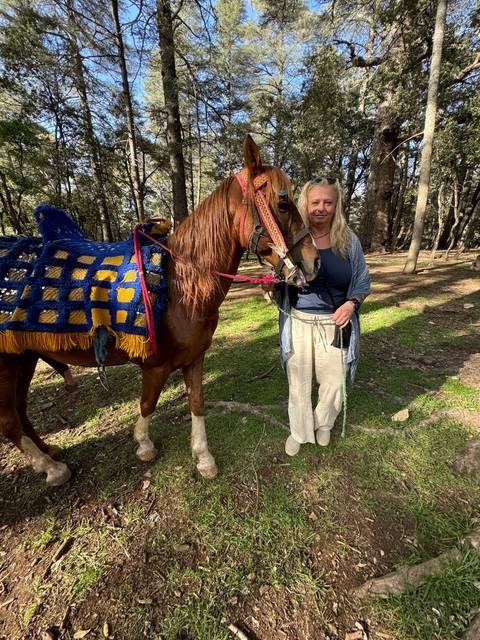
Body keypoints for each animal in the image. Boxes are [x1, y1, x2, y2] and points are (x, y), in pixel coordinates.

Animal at [0, 135, 318, 487]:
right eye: (283, 204)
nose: (314, 261)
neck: (183, 285)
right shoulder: (155, 366)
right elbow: (147, 404)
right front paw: (144, 444)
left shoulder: (194, 358)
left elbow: (197, 402)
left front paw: (203, 457)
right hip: (6, 363)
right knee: (9, 420)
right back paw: (51, 468)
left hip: (23, 356)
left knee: (19, 410)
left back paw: (48, 451)